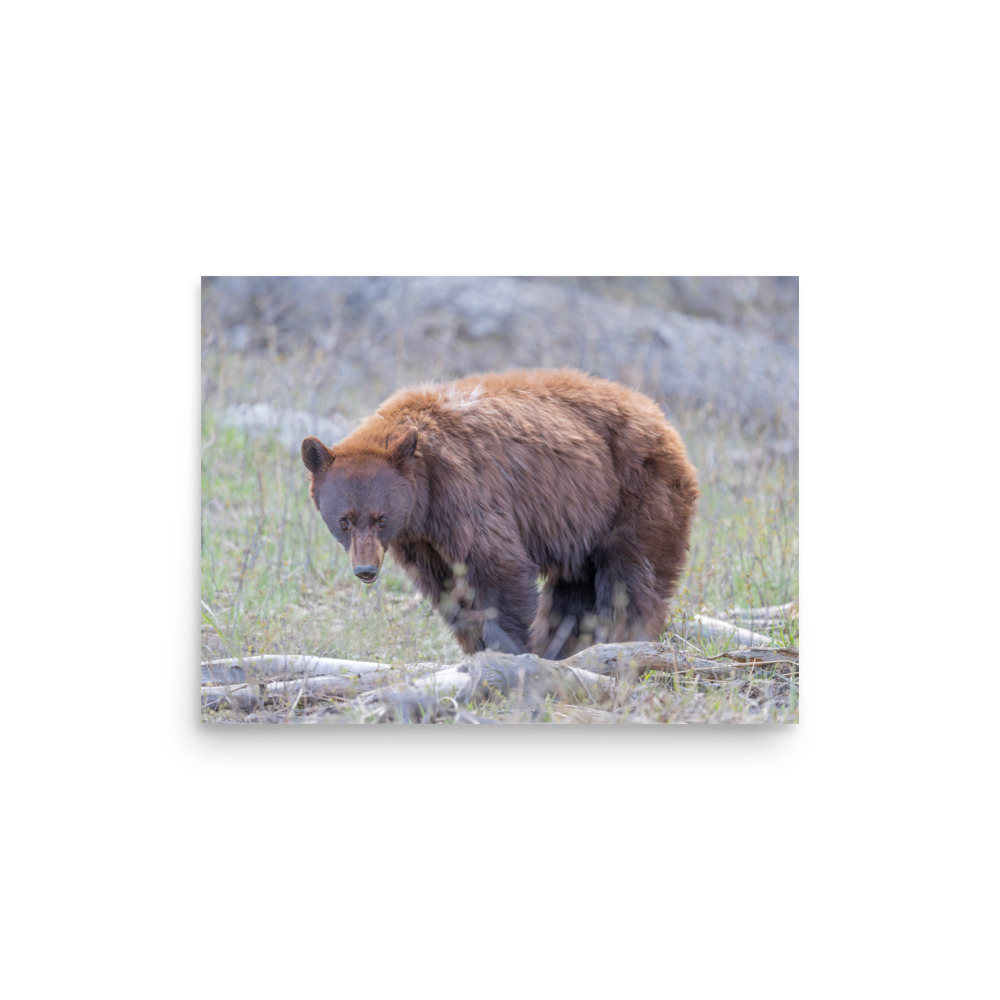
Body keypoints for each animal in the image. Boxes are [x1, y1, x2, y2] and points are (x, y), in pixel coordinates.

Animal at [301, 369, 698, 660]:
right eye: (344, 521)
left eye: (381, 518)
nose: (365, 570)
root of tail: (661, 418)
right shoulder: (421, 540)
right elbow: (446, 588)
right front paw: (477, 647)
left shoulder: (465, 492)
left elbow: (497, 568)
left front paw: (509, 649)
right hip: (583, 521)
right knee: (574, 589)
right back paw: (565, 645)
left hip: (635, 493)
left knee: (630, 576)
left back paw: (620, 638)